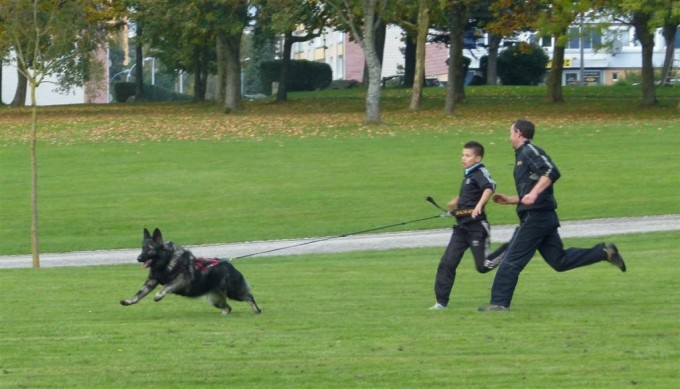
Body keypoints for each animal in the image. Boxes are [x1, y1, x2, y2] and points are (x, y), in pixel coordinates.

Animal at [121, 227, 262, 316]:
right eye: (142, 248)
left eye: (149, 249)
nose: (138, 258)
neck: (167, 261)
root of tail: (228, 264)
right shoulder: (151, 281)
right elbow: (139, 294)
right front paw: (129, 301)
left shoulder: (181, 280)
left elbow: (165, 287)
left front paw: (158, 296)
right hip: (216, 300)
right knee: (228, 307)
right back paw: (224, 314)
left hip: (234, 292)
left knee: (249, 297)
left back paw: (257, 310)